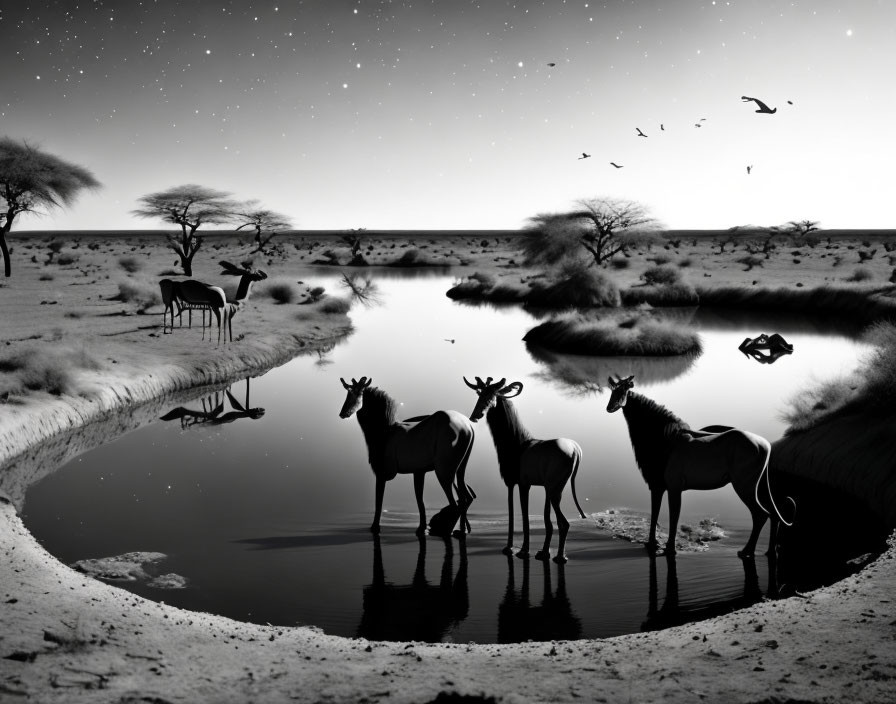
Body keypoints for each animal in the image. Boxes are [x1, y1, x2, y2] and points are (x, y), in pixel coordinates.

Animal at [466, 376, 584, 564]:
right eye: (480, 394)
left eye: (493, 396)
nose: (476, 416)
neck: (515, 443)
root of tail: (576, 451)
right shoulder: (525, 484)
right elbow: (537, 518)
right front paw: (534, 550)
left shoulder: (517, 482)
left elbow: (520, 516)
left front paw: (519, 550)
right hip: (554, 488)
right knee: (553, 521)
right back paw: (546, 553)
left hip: (554, 487)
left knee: (564, 523)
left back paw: (560, 556)